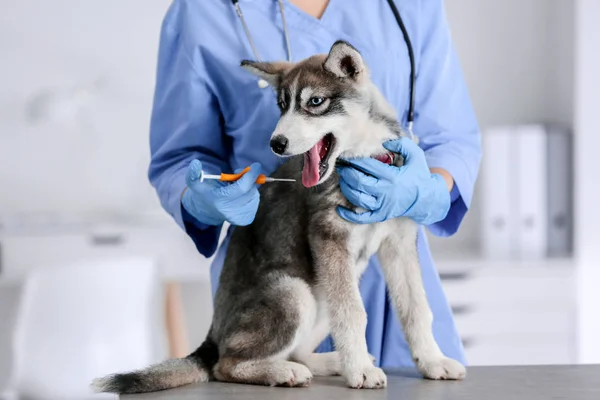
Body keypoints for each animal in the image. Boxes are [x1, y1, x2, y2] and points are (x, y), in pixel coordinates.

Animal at [91, 39, 466, 394]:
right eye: (282, 106)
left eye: (315, 102)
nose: (277, 143)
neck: (365, 159)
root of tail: (211, 339)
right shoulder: (329, 237)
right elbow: (354, 313)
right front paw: (360, 370)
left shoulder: (399, 242)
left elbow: (417, 309)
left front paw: (432, 361)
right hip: (295, 293)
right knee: (226, 365)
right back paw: (285, 371)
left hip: (321, 293)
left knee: (295, 349)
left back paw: (326, 362)